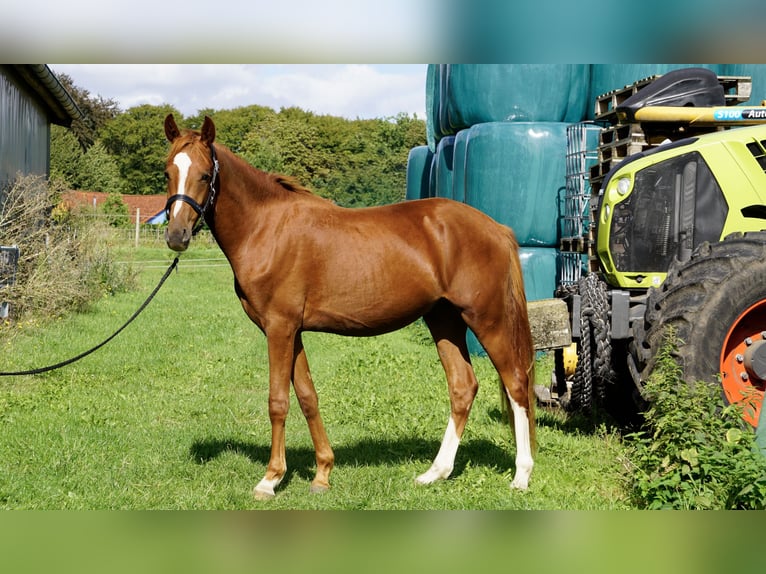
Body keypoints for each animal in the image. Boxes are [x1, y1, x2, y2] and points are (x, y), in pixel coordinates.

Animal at [163, 114, 536, 499]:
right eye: (167, 171)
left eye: (205, 174)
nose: (176, 236)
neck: (267, 228)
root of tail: (497, 228)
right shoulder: (293, 331)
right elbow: (308, 396)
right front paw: (322, 473)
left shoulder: (279, 328)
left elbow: (278, 401)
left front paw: (271, 478)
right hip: (444, 320)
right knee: (463, 387)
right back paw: (436, 472)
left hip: (487, 320)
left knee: (516, 384)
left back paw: (521, 475)